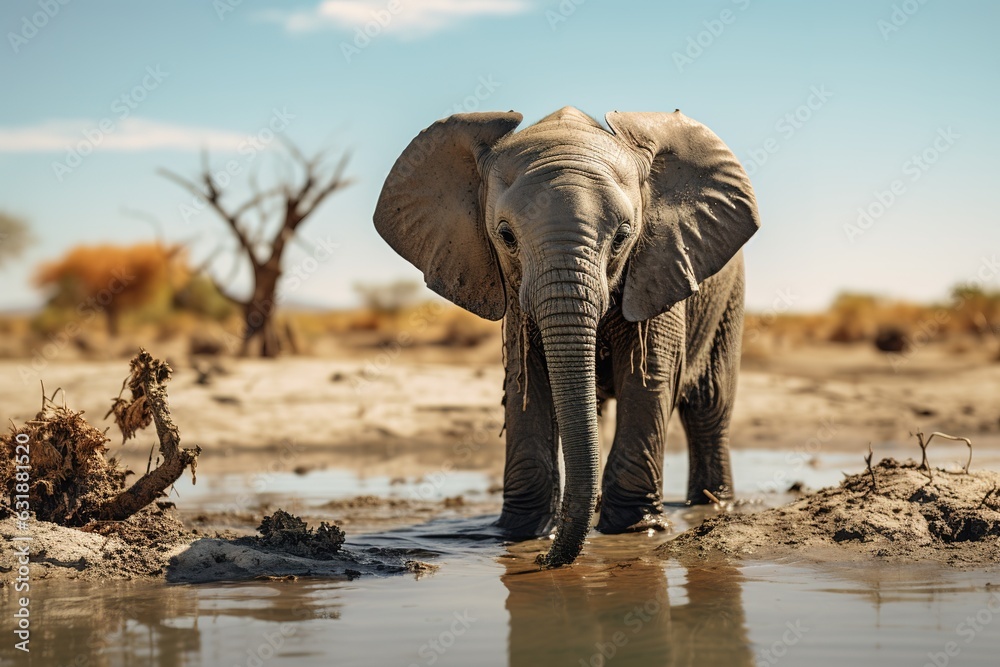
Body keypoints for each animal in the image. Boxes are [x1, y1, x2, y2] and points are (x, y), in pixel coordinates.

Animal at [373, 106, 760, 566]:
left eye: (623, 236)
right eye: (506, 236)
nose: (543, 561)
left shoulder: (659, 264)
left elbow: (648, 378)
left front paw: (634, 530)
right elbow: (526, 384)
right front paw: (520, 535)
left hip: (729, 295)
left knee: (709, 405)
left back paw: (713, 506)